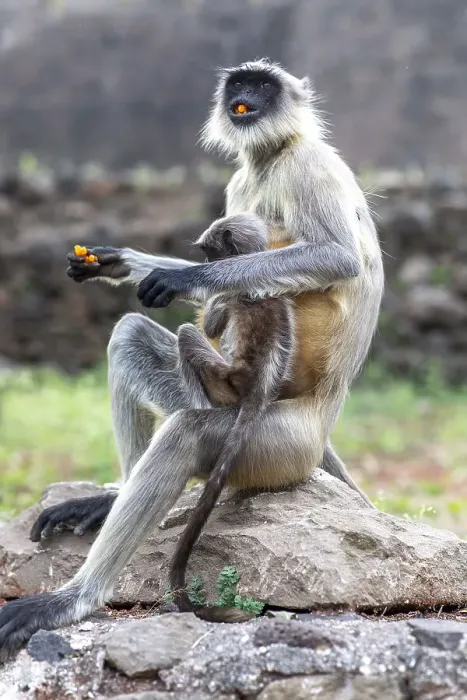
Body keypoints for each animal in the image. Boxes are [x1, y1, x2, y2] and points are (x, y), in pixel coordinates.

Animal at [170, 213, 296, 618]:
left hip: (222, 381)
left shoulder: (231, 293)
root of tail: (257, 389)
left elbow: (211, 324)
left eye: (211, 253)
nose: (208, 267)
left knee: (187, 333)